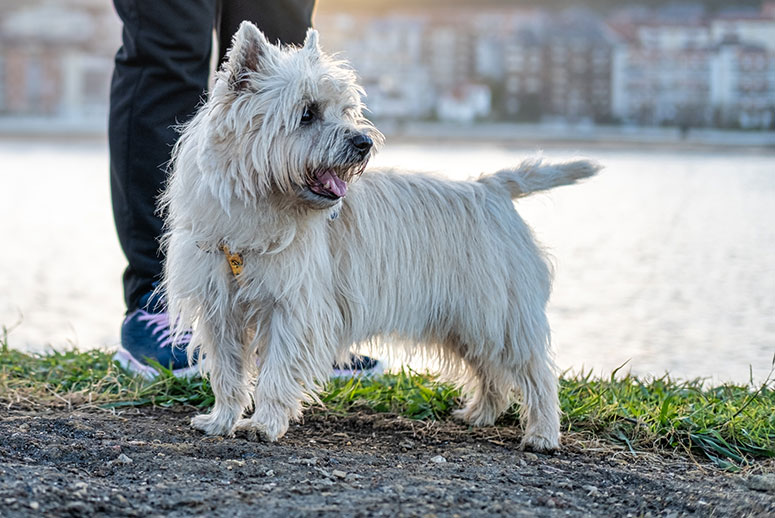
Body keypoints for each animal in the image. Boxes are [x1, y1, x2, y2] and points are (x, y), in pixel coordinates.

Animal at [162, 21, 600, 450]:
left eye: (346, 111)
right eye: (307, 113)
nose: (363, 141)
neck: (257, 208)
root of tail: (491, 188)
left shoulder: (292, 309)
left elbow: (276, 373)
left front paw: (263, 425)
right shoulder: (221, 309)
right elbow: (228, 372)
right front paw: (221, 421)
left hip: (500, 317)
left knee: (536, 374)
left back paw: (542, 435)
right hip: (467, 320)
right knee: (491, 372)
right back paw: (480, 415)